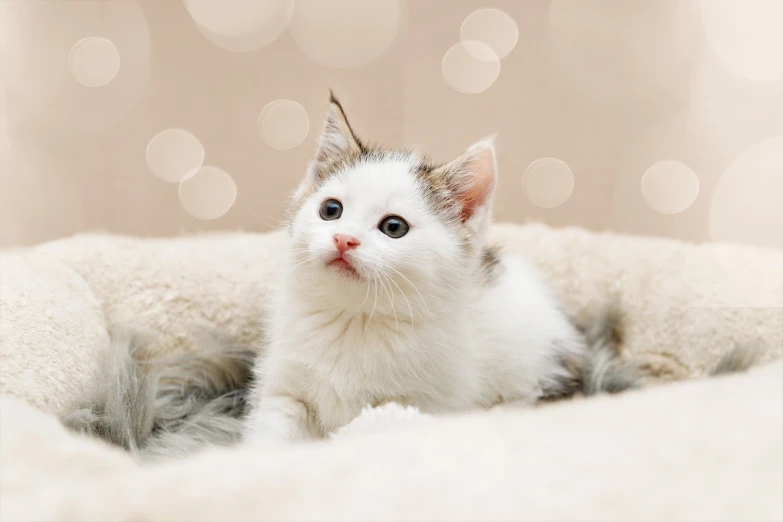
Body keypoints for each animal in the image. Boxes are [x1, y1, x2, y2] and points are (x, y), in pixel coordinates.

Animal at [247, 91, 644, 440]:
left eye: (394, 227)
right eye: (331, 210)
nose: (344, 239)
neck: (355, 319)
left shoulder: (424, 403)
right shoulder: (284, 393)